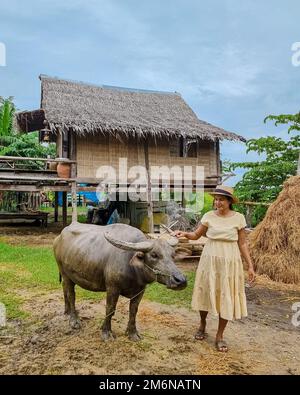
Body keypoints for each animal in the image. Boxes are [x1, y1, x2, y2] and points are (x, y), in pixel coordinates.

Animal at [52, 223, 186, 340]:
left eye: (173, 255)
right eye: (154, 255)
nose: (181, 281)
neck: (132, 267)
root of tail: (59, 238)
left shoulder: (140, 290)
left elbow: (133, 311)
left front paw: (132, 333)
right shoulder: (112, 288)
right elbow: (110, 309)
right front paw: (106, 332)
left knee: (64, 290)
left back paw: (67, 312)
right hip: (65, 274)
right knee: (71, 295)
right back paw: (74, 320)